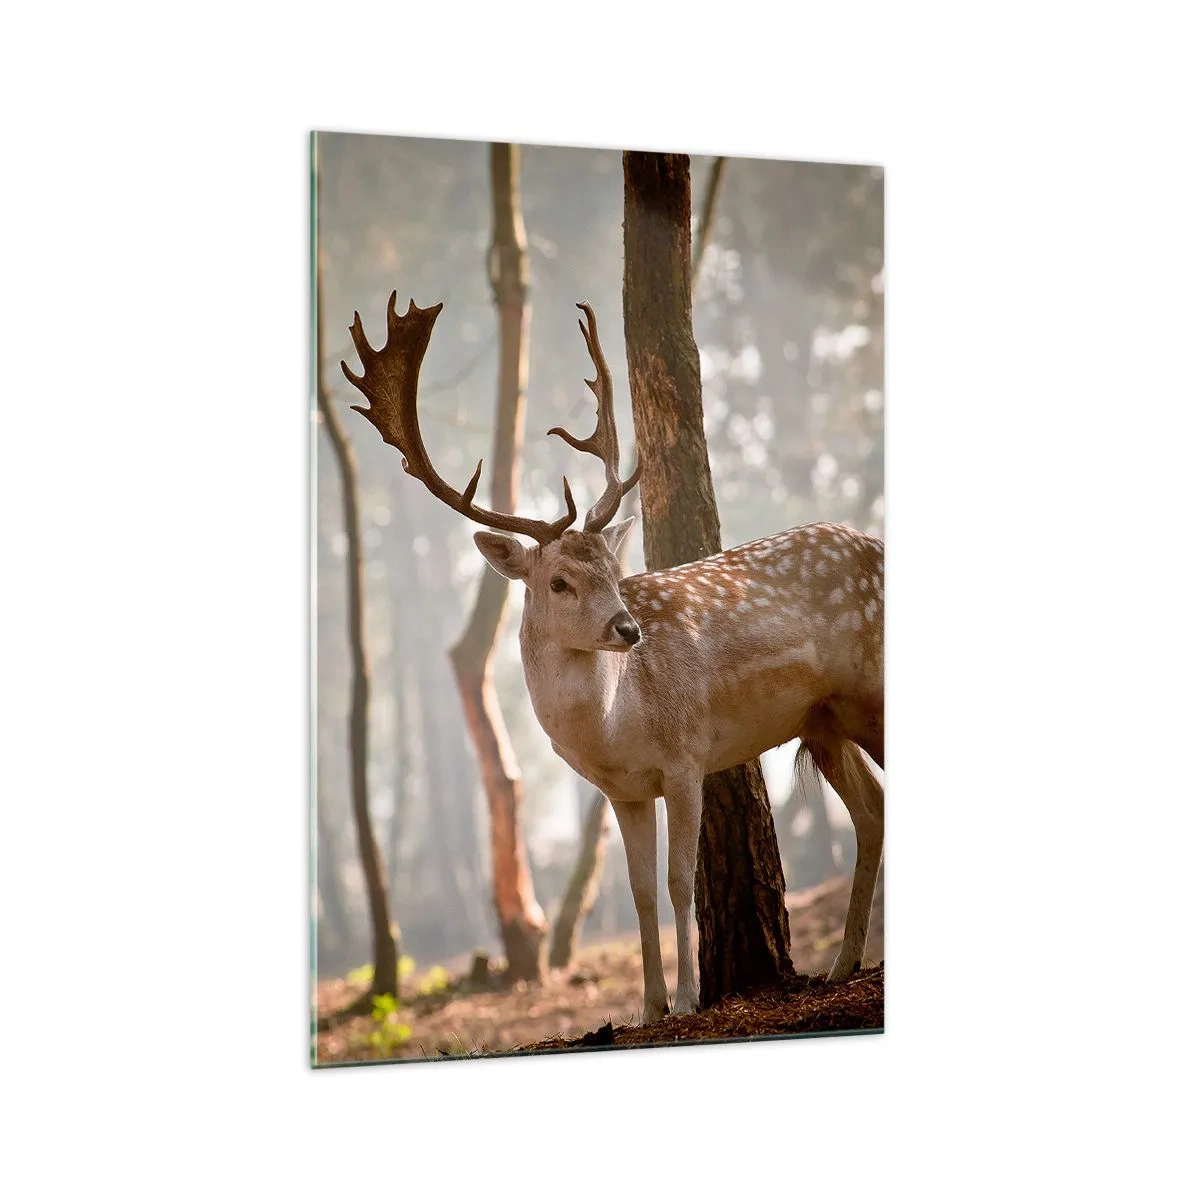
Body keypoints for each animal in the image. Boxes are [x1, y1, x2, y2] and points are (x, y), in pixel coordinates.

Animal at [341, 293, 884, 1023]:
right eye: (558, 581)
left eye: (613, 567)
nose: (629, 629)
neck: (613, 725)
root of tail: (878, 544)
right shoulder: (624, 791)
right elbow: (639, 890)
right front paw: (648, 1007)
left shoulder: (686, 755)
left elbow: (681, 880)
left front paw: (688, 998)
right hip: (825, 719)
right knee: (872, 810)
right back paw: (841, 964)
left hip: (871, 688)